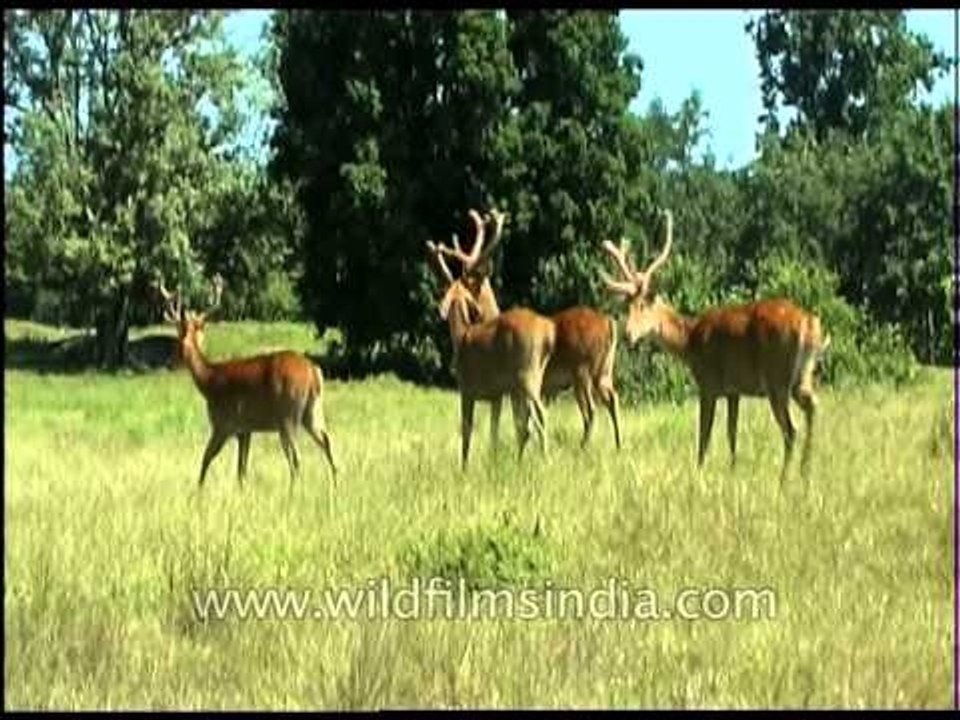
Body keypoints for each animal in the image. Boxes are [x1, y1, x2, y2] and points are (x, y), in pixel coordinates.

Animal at [157, 274, 337, 489]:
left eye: (176, 343)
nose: (168, 363)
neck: (209, 381)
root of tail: (312, 372)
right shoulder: (245, 430)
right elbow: (241, 469)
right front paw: (242, 490)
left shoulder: (223, 423)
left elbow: (206, 459)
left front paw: (198, 490)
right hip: (312, 412)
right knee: (326, 442)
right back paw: (336, 486)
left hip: (288, 416)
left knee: (296, 458)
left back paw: (294, 491)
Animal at [425, 236, 556, 469]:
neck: (461, 335)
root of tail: (548, 333)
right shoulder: (497, 394)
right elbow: (495, 431)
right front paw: (492, 463)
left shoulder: (466, 389)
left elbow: (467, 430)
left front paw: (464, 468)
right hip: (534, 377)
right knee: (527, 424)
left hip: (527, 375)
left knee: (540, 416)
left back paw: (546, 461)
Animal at [434, 208, 622, 450]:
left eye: (468, 283)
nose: (471, 311)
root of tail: (609, 323)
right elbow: (521, 425)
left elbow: (517, 425)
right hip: (603, 371)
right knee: (612, 400)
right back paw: (617, 446)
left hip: (581, 371)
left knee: (590, 410)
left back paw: (583, 448)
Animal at [600, 209, 830, 484]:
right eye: (627, 306)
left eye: (643, 305)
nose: (628, 335)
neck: (689, 341)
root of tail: (810, 324)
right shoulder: (733, 390)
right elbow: (732, 434)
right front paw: (732, 470)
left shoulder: (708, 384)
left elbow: (704, 437)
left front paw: (698, 474)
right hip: (802, 377)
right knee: (813, 407)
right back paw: (806, 473)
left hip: (778, 379)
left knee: (791, 429)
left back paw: (784, 480)